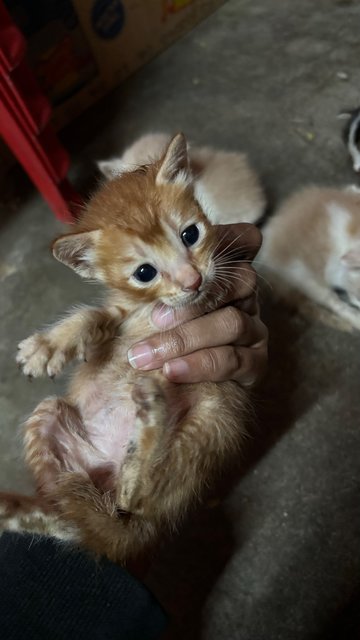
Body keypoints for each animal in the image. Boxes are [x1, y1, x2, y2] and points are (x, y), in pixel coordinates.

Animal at [0, 134, 250, 564]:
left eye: (191, 235)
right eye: (144, 272)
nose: (192, 280)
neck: (150, 309)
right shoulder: (120, 316)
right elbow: (93, 316)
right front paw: (48, 346)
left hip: (215, 410)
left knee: (137, 498)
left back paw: (147, 423)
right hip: (51, 426)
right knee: (82, 524)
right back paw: (16, 508)